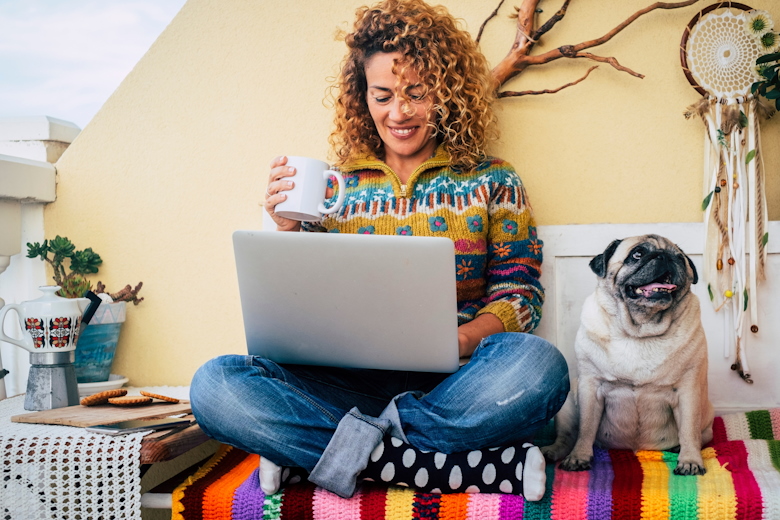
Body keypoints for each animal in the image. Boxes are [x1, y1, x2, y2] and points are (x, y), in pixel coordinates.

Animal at [544, 236, 712, 476]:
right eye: (637, 254)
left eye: (680, 258)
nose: (665, 256)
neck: (640, 331)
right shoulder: (590, 386)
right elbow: (586, 428)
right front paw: (579, 457)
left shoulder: (688, 390)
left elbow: (689, 430)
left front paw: (690, 461)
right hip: (568, 402)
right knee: (568, 436)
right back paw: (554, 452)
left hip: (706, 420)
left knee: (697, 435)